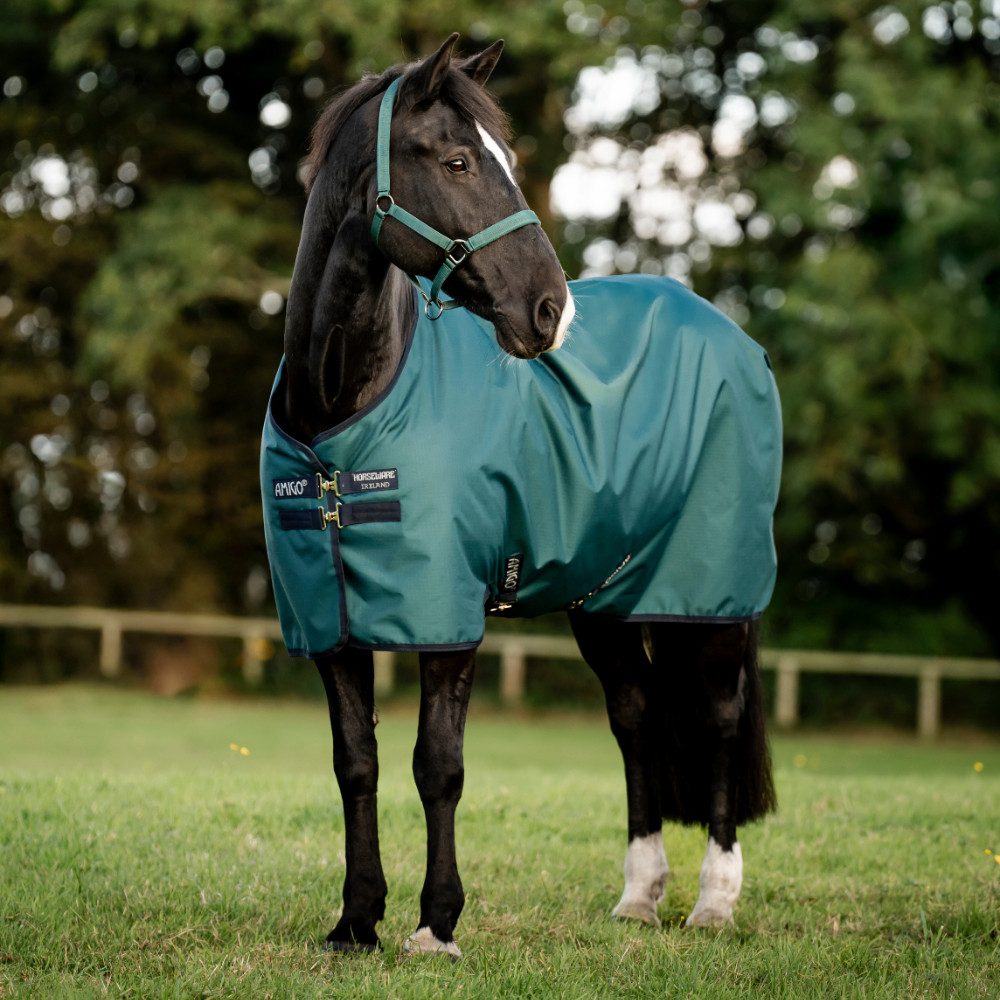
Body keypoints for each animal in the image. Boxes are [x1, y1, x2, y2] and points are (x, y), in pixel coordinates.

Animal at [261, 33, 780, 956]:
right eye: (459, 160)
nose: (550, 312)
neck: (341, 416)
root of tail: (732, 335)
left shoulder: (448, 617)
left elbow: (438, 765)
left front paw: (436, 924)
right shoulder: (330, 621)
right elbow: (356, 764)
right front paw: (356, 920)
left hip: (712, 595)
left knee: (718, 720)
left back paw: (714, 901)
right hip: (605, 600)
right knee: (636, 715)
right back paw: (639, 896)